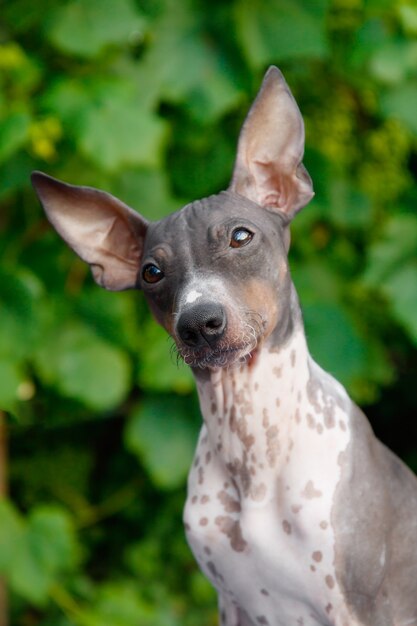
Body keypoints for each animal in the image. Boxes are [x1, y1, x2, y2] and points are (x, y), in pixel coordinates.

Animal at [31, 67, 416, 624]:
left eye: (240, 236)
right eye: (151, 273)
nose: (199, 322)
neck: (249, 439)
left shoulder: (356, 608)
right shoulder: (232, 603)